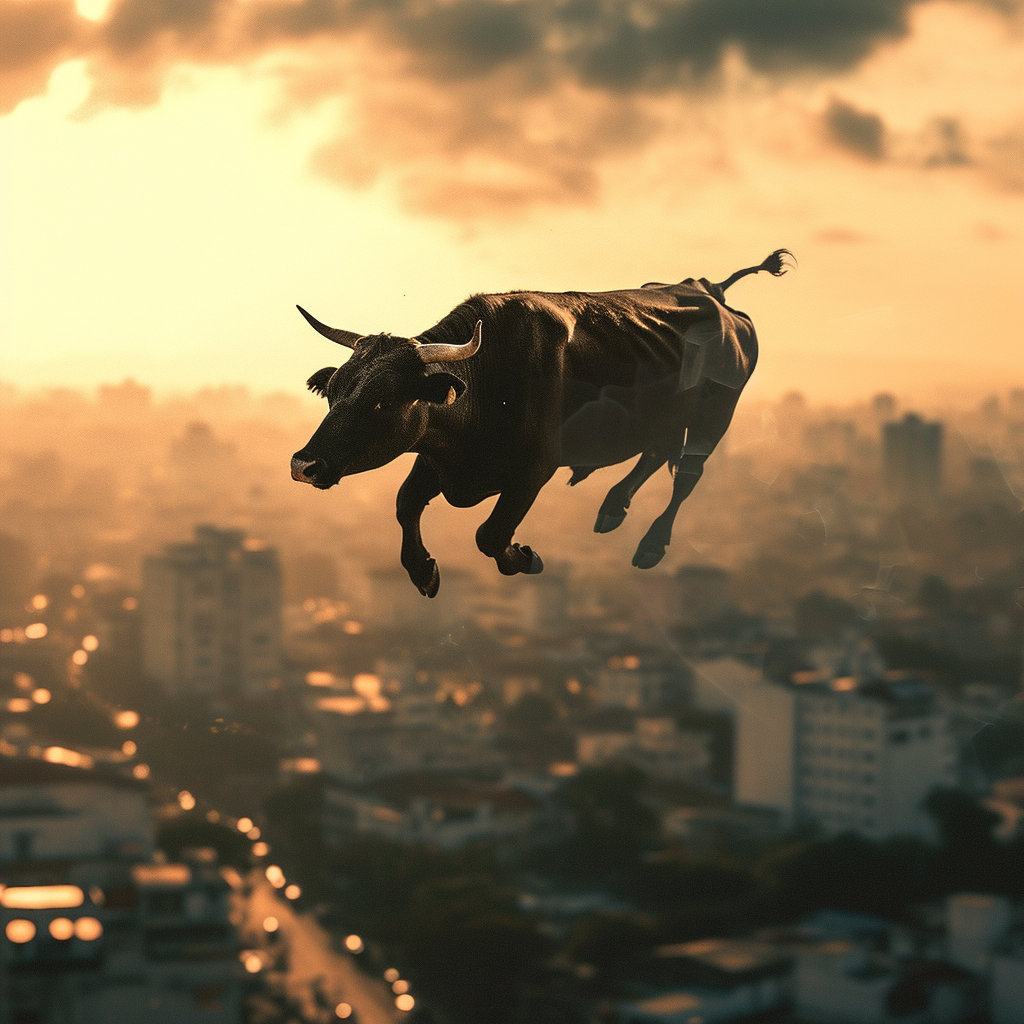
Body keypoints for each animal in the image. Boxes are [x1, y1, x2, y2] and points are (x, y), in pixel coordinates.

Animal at [290, 250, 790, 598]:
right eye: (332, 392)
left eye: (382, 402)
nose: (303, 465)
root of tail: (710, 292)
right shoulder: (438, 459)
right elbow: (404, 503)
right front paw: (424, 571)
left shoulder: (533, 471)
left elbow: (490, 534)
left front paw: (525, 557)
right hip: (666, 415)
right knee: (654, 451)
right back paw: (613, 508)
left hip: (716, 414)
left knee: (687, 474)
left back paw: (650, 544)